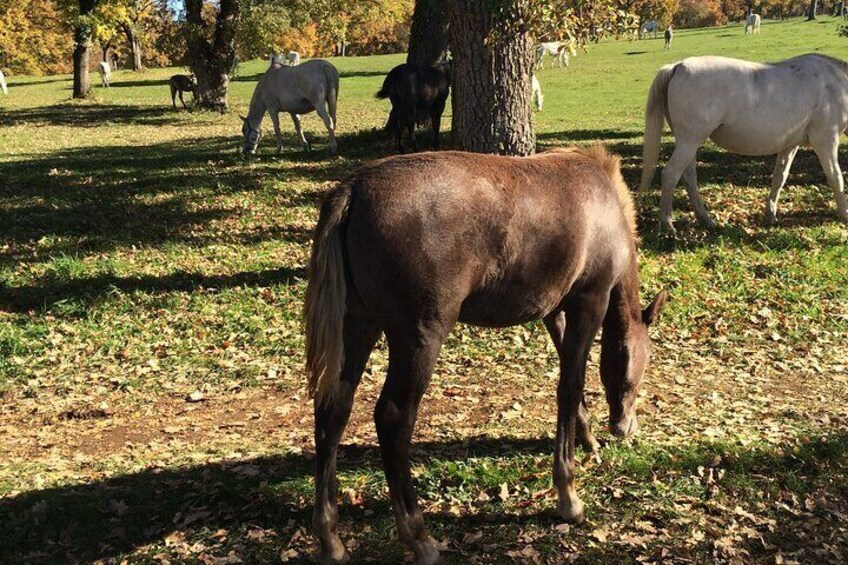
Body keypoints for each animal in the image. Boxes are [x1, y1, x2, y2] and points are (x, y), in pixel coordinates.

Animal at [304, 144, 668, 560]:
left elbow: (568, 376)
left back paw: (331, 538)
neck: (604, 203)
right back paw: (419, 536)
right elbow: (570, 386)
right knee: (393, 418)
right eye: (637, 370)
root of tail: (353, 189)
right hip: (419, 336)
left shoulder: (555, 311)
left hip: (358, 323)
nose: (625, 426)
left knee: (333, 410)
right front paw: (568, 496)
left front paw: (587, 436)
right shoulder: (589, 303)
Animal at [640, 53, 848, 229]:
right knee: (671, 174)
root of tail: (678, 66)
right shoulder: (826, 141)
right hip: (688, 143)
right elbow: (835, 177)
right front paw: (844, 213)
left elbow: (779, 177)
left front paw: (770, 215)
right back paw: (668, 224)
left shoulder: (790, 145)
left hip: (688, 144)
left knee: (689, 177)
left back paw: (706, 220)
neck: (835, 83)